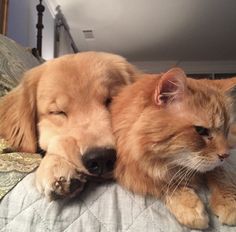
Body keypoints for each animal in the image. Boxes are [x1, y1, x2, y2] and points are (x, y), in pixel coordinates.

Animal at [111, 67, 236, 230]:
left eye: (225, 131)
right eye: (201, 131)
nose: (225, 155)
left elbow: (221, 173)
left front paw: (228, 203)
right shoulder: (135, 173)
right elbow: (167, 184)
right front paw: (189, 207)